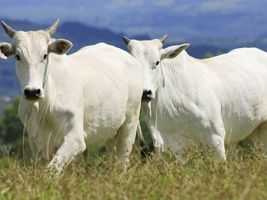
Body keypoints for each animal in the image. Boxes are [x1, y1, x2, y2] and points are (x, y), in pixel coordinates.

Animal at [0, 20, 144, 173]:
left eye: (45, 55)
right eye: (17, 56)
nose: (32, 91)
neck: (44, 108)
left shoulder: (75, 139)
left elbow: (51, 170)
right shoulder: (36, 143)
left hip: (129, 123)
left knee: (123, 160)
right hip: (111, 131)